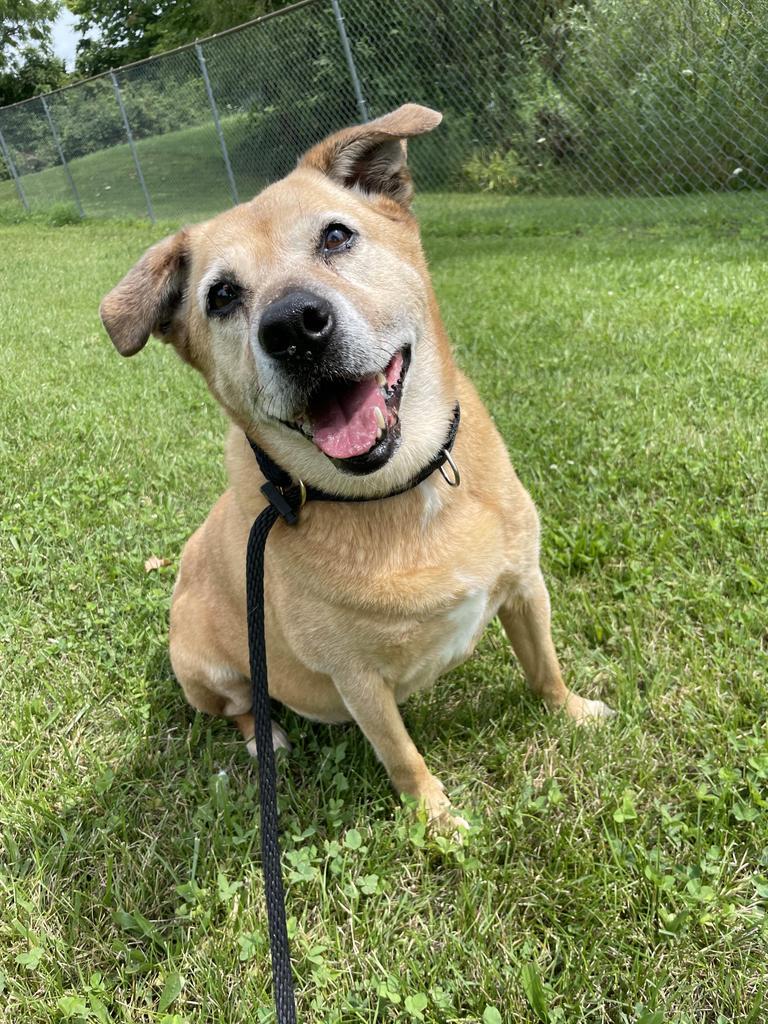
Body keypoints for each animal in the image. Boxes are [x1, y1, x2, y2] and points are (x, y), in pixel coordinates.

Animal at [100, 103, 614, 827]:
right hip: (205, 668)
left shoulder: (525, 586)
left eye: (336, 236)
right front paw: (437, 823)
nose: (292, 327)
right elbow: (404, 758)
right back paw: (267, 738)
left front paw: (572, 713)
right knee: (240, 709)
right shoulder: (357, 680)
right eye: (221, 296)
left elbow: (544, 669)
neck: (398, 492)